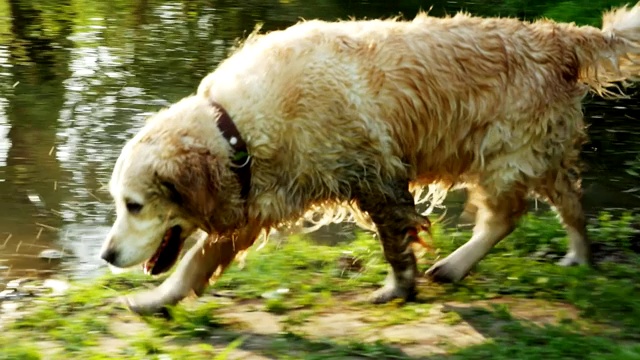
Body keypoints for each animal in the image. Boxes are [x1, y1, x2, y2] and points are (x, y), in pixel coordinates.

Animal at [99, 4, 640, 316]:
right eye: (119, 202)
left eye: (134, 205)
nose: (105, 256)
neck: (238, 129)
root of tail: (557, 36)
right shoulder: (257, 202)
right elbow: (193, 264)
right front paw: (154, 300)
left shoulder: (374, 176)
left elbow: (394, 244)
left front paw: (398, 287)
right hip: (528, 153)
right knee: (567, 202)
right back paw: (569, 255)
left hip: (507, 154)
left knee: (509, 216)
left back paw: (472, 263)